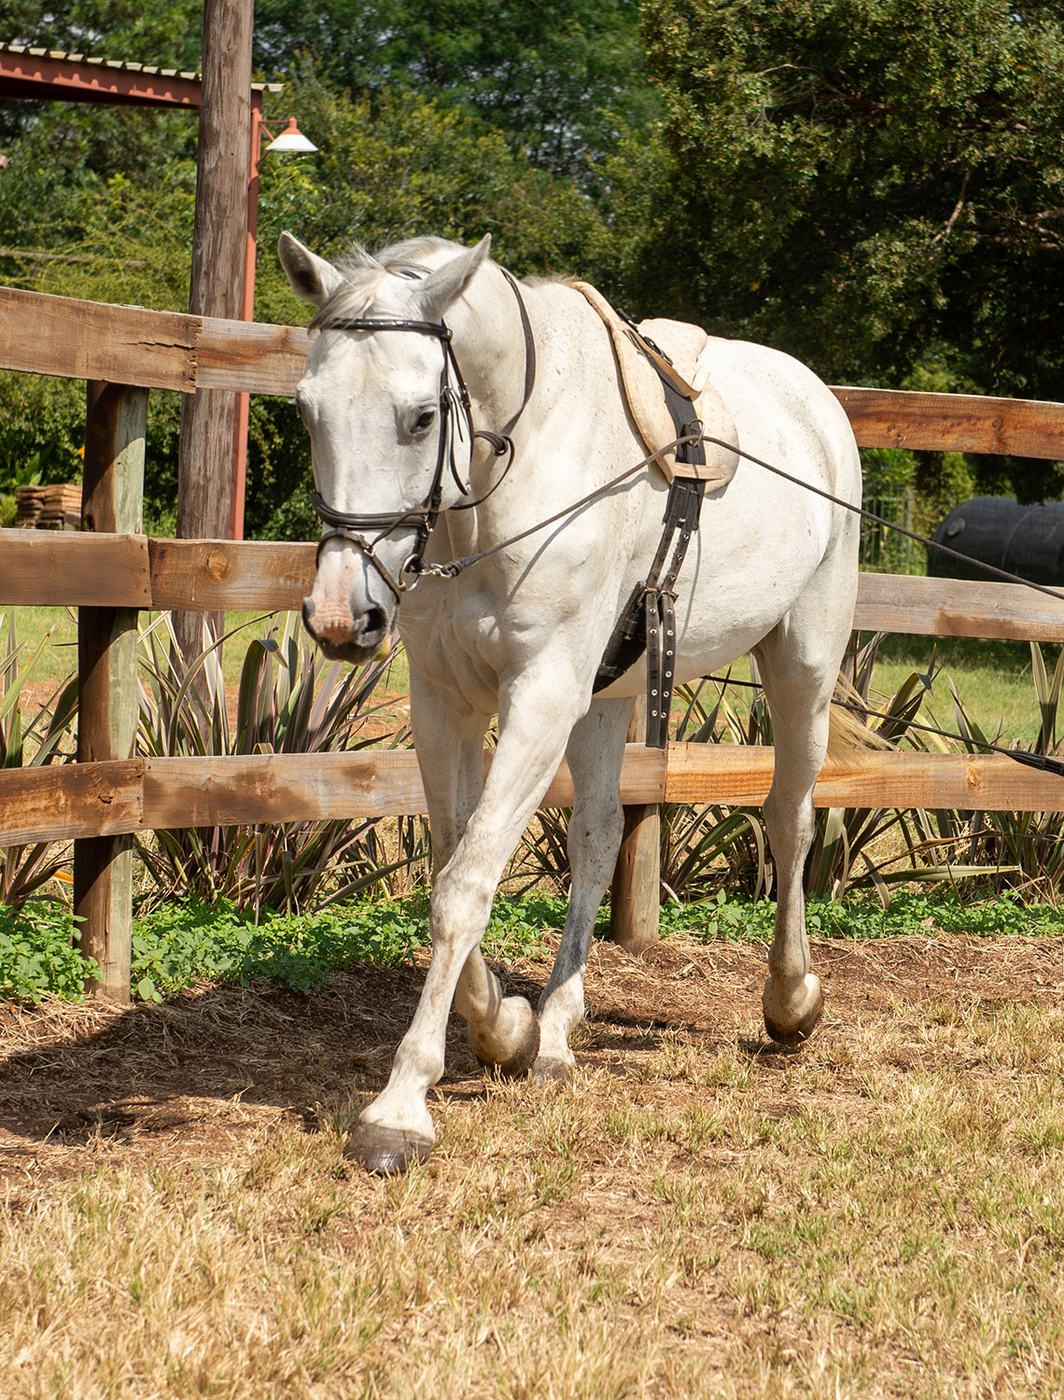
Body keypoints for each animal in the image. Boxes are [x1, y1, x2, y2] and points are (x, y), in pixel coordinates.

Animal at [278, 230, 861, 1175]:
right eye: (305, 411)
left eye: (421, 416)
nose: (340, 616)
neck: (503, 491)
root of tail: (820, 407)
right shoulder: (445, 701)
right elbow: (454, 865)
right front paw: (508, 1028)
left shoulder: (540, 697)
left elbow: (465, 884)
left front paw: (399, 1110)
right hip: (610, 698)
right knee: (597, 837)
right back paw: (555, 1031)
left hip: (801, 665)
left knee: (789, 817)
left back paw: (790, 999)